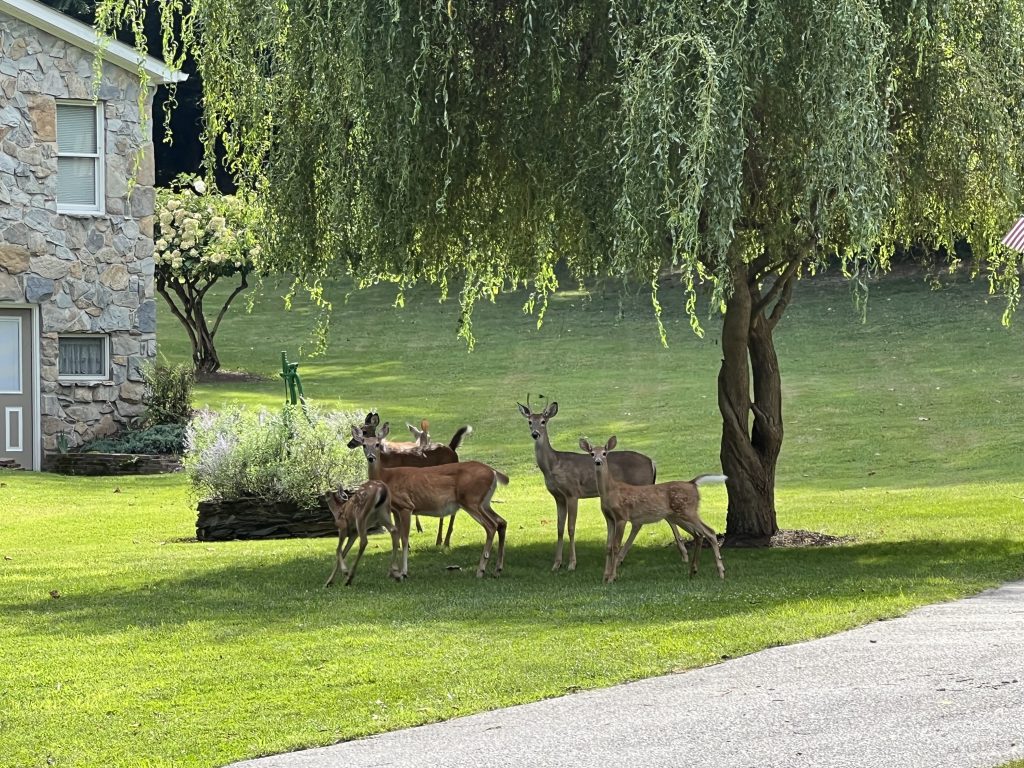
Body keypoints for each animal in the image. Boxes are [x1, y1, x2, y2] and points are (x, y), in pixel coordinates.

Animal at [344, 411, 471, 548]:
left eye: (365, 431)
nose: (349, 444)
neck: (385, 458)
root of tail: (453, 450)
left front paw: (405, 544)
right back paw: (439, 540)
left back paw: (445, 541)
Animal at [352, 423, 512, 581]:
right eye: (364, 445)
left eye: (377, 444)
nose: (371, 458)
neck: (387, 477)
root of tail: (494, 472)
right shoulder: (395, 509)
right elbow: (395, 538)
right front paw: (393, 572)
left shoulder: (406, 506)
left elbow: (404, 539)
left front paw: (403, 572)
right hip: (484, 502)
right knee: (502, 522)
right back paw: (497, 570)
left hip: (471, 500)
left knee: (491, 525)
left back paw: (481, 570)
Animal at [516, 403, 659, 573]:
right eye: (530, 422)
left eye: (543, 421)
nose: (535, 434)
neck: (553, 465)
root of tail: (652, 462)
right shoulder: (558, 497)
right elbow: (559, 528)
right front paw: (556, 564)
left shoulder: (572, 492)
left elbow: (571, 527)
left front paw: (572, 564)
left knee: (638, 522)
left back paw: (619, 559)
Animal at [577, 436, 729, 585]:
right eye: (592, 453)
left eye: (604, 453)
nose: (598, 462)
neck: (610, 492)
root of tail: (692, 483)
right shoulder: (608, 518)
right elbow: (608, 547)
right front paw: (605, 577)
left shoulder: (621, 516)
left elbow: (616, 546)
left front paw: (612, 578)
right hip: (678, 515)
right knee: (699, 534)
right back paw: (693, 571)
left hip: (688, 511)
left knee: (710, 532)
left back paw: (721, 572)